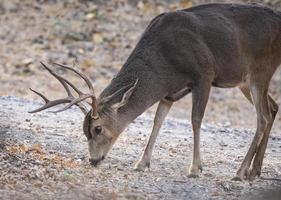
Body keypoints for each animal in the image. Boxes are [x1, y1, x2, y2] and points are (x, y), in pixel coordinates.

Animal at [29, 3, 280, 181]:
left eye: (97, 129)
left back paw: (240, 172)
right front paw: (141, 163)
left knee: (262, 116)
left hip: (260, 70)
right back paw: (255, 171)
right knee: (273, 108)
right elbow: (158, 120)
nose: (93, 160)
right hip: (245, 81)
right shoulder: (169, 91)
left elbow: (195, 120)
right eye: (84, 131)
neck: (165, 63)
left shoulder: (204, 74)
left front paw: (195, 168)